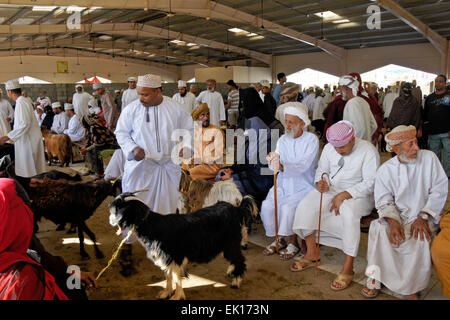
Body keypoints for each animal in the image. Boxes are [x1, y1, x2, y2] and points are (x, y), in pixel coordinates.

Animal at [108, 192, 260, 300]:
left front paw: (176, 297)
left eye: (117, 209)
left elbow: (176, 278)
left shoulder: (175, 257)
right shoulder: (166, 258)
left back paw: (236, 282)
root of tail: (236, 209)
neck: (154, 227)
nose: (110, 221)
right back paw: (231, 272)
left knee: (239, 259)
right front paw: (166, 292)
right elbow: (168, 276)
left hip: (231, 243)